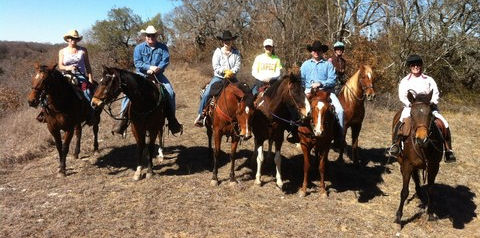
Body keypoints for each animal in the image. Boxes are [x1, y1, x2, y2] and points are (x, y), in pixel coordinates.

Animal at [394, 90, 442, 224]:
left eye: (430, 113)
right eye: (412, 114)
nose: (422, 139)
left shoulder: (433, 166)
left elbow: (431, 190)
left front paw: (430, 213)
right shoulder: (407, 165)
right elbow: (404, 191)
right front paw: (399, 216)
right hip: (401, 162)